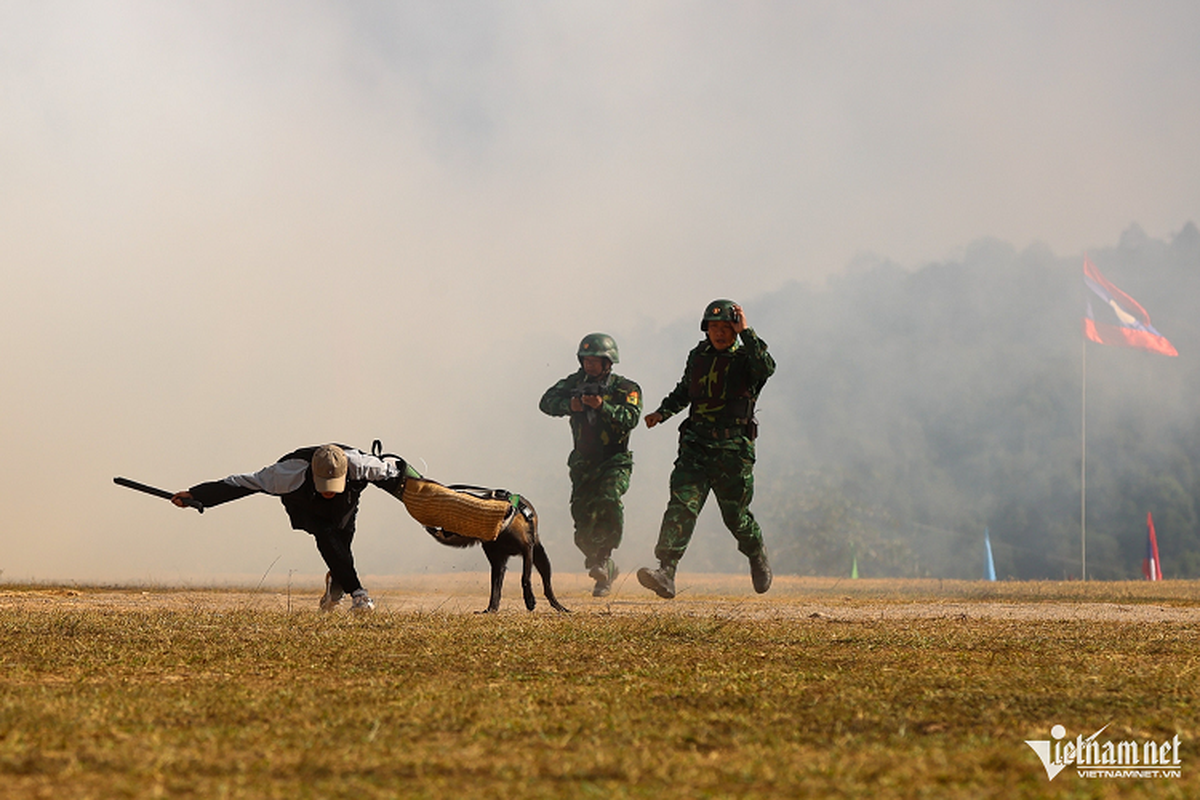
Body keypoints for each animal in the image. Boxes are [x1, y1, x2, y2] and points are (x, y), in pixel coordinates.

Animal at [424, 489, 568, 614]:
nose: (439, 529)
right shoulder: (497, 563)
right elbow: (495, 589)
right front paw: (490, 609)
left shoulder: (527, 550)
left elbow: (525, 578)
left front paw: (530, 601)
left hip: (542, 559)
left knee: (547, 587)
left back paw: (561, 608)